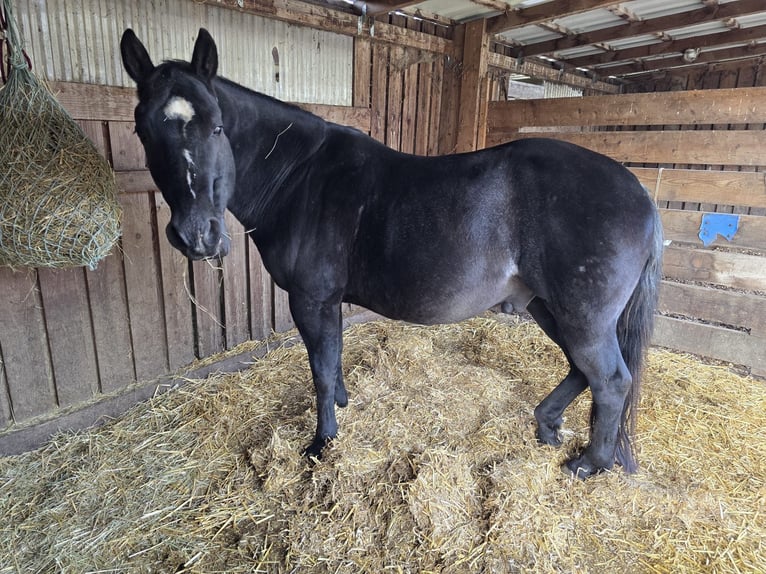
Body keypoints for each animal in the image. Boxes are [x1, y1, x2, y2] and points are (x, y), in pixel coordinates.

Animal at [120, 28, 663, 479]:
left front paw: (322, 442)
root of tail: (640, 194)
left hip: (581, 316)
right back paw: (547, 424)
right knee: (581, 369)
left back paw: (589, 464)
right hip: (549, 307)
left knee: (611, 380)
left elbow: (320, 370)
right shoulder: (328, 301)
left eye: (216, 127)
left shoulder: (311, 299)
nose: (198, 237)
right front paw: (343, 405)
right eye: (142, 130)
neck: (300, 175)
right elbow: (333, 360)